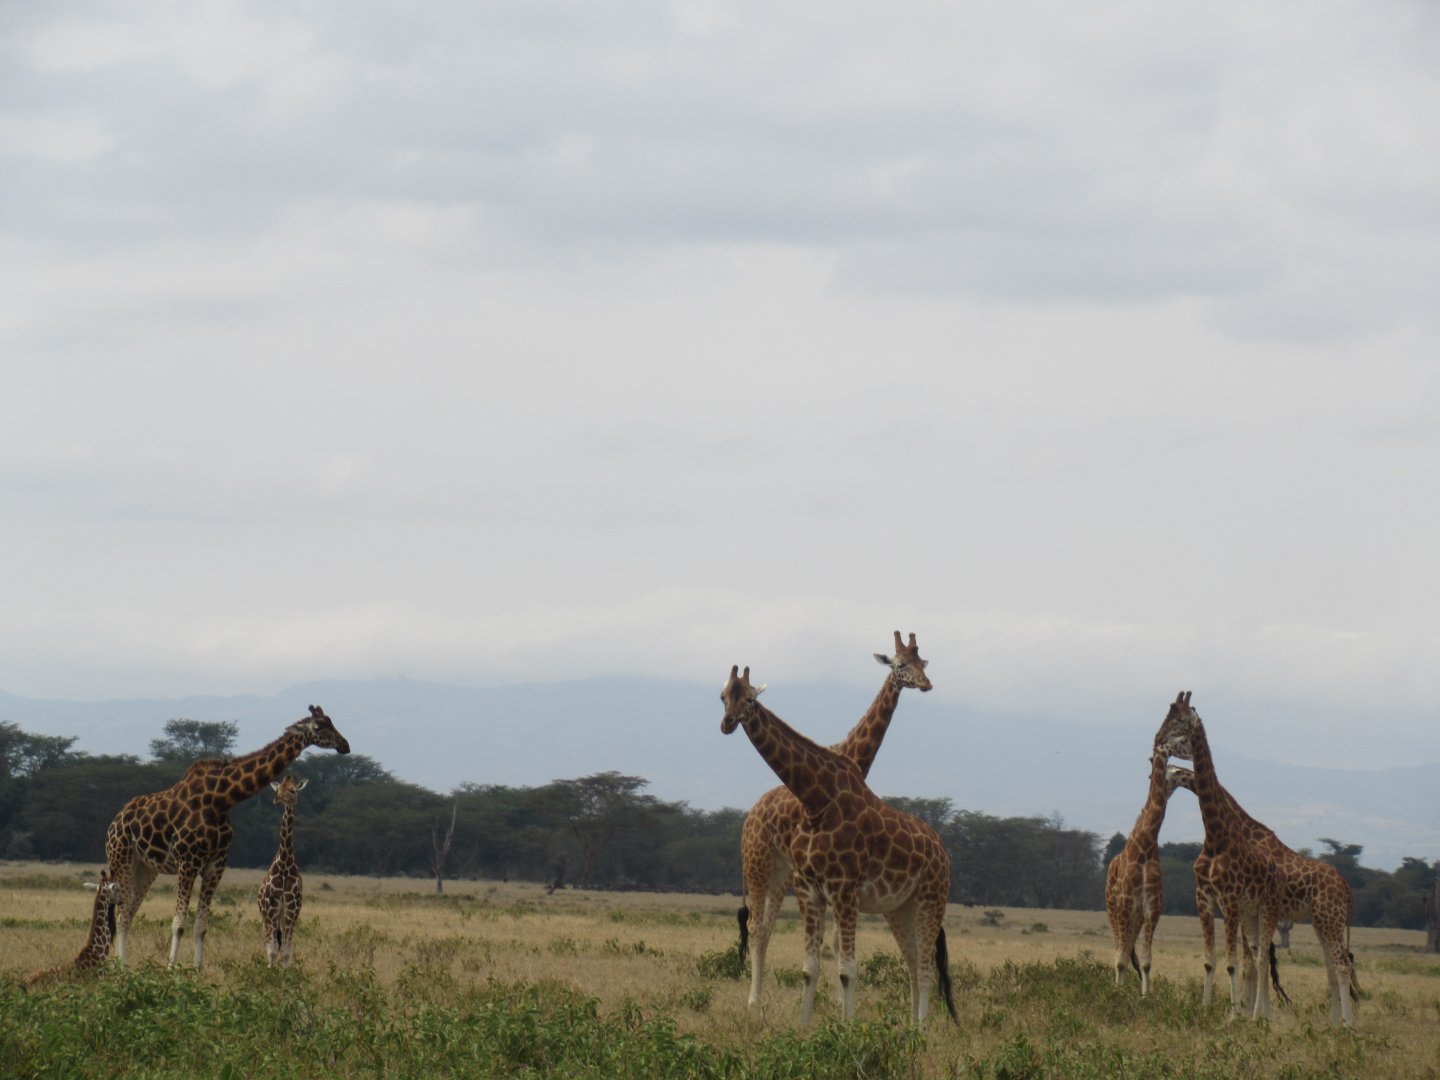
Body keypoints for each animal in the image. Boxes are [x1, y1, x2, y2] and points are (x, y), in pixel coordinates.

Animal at [257, 774, 309, 967]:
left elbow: (286, 951)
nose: (276, 800)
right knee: (268, 943)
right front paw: (271, 971)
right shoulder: (272, 906)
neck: (285, 863)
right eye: (278, 789)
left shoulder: (292, 908)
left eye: (293, 790)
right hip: (265, 914)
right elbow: (272, 950)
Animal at [719, 665, 956, 1026]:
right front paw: (815, 1022)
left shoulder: (843, 889)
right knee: (758, 928)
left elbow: (842, 962)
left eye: (749, 698)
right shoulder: (817, 888)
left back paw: (919, 1028)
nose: (728, 722)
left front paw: (843, 1022)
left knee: (924, 965)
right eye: (722, 696)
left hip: (922, 899)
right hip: (765, 864)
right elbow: (819, 962)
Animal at [1104, 747, 1187, 994]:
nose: (1187, 773)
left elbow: (1146, 961)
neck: (1145, 848)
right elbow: (1121, 959)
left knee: (1128, 950)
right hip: (1113, 909)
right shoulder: (1125, 904)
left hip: (1136, 917)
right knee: (1118, 950)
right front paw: (1118, 993)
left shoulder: (1152, 907)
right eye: (1172, 770)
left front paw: (1145, 996)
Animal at [1154, 691, 1358, 1026]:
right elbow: (1234, 961)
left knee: (1339, 965)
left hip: (1327, 917)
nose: (1157, 743)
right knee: (1331, 967)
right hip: (1321, 920)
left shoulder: (1235, 903)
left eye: (1181, 725)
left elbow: (1245, 963)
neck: (1224, 834)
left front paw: (1244, 1014)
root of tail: (1348, 889)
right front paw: (1233, 1011)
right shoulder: (1218, 901)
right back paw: (1332, 1023)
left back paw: (1348, 1026)